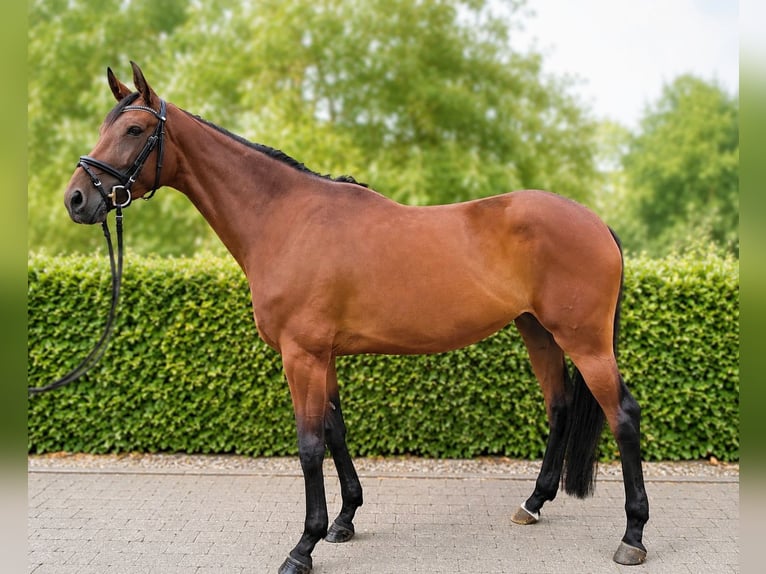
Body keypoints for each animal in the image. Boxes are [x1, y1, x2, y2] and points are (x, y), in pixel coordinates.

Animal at [63, 62, 649, 573]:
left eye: (135, 129)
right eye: (105, 127)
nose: (77, 199)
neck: (285, 218)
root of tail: (596, 222)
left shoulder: (301, 355)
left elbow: (308, 446)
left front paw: (303, 547)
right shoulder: (323, 355)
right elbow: (336, 431)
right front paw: (343, 521)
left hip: (586, 341)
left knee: (622, 415)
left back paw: (633, 536)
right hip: (538, 331)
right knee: (560, 406)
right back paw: (533, 504)